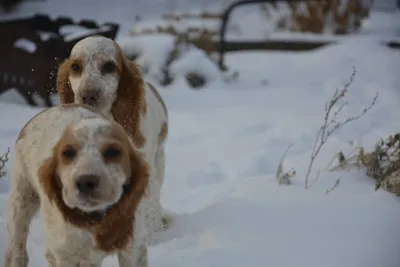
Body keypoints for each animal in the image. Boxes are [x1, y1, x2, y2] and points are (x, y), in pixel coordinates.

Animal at [5, 103, 153, 266]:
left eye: (113, 151)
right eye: (68, 152)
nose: (85, 182)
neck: (93, 220)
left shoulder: (134, 249)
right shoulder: (64, 254)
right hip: (20, 200)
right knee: (16, 250)